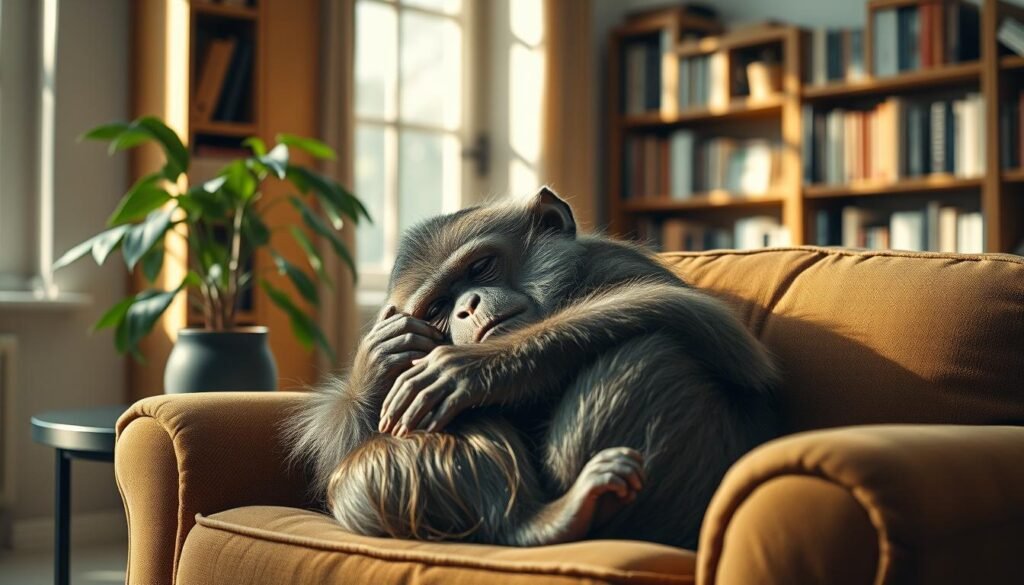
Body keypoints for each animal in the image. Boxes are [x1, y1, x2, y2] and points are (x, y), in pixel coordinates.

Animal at [286, 187, 779, 549]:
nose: (467, 306)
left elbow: (706, 321)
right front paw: (377, 358)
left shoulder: (613, 264)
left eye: (481, 266)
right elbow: (345, 452)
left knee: (649, 353)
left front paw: (470, 369)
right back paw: (534, 523)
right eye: (439, 307)